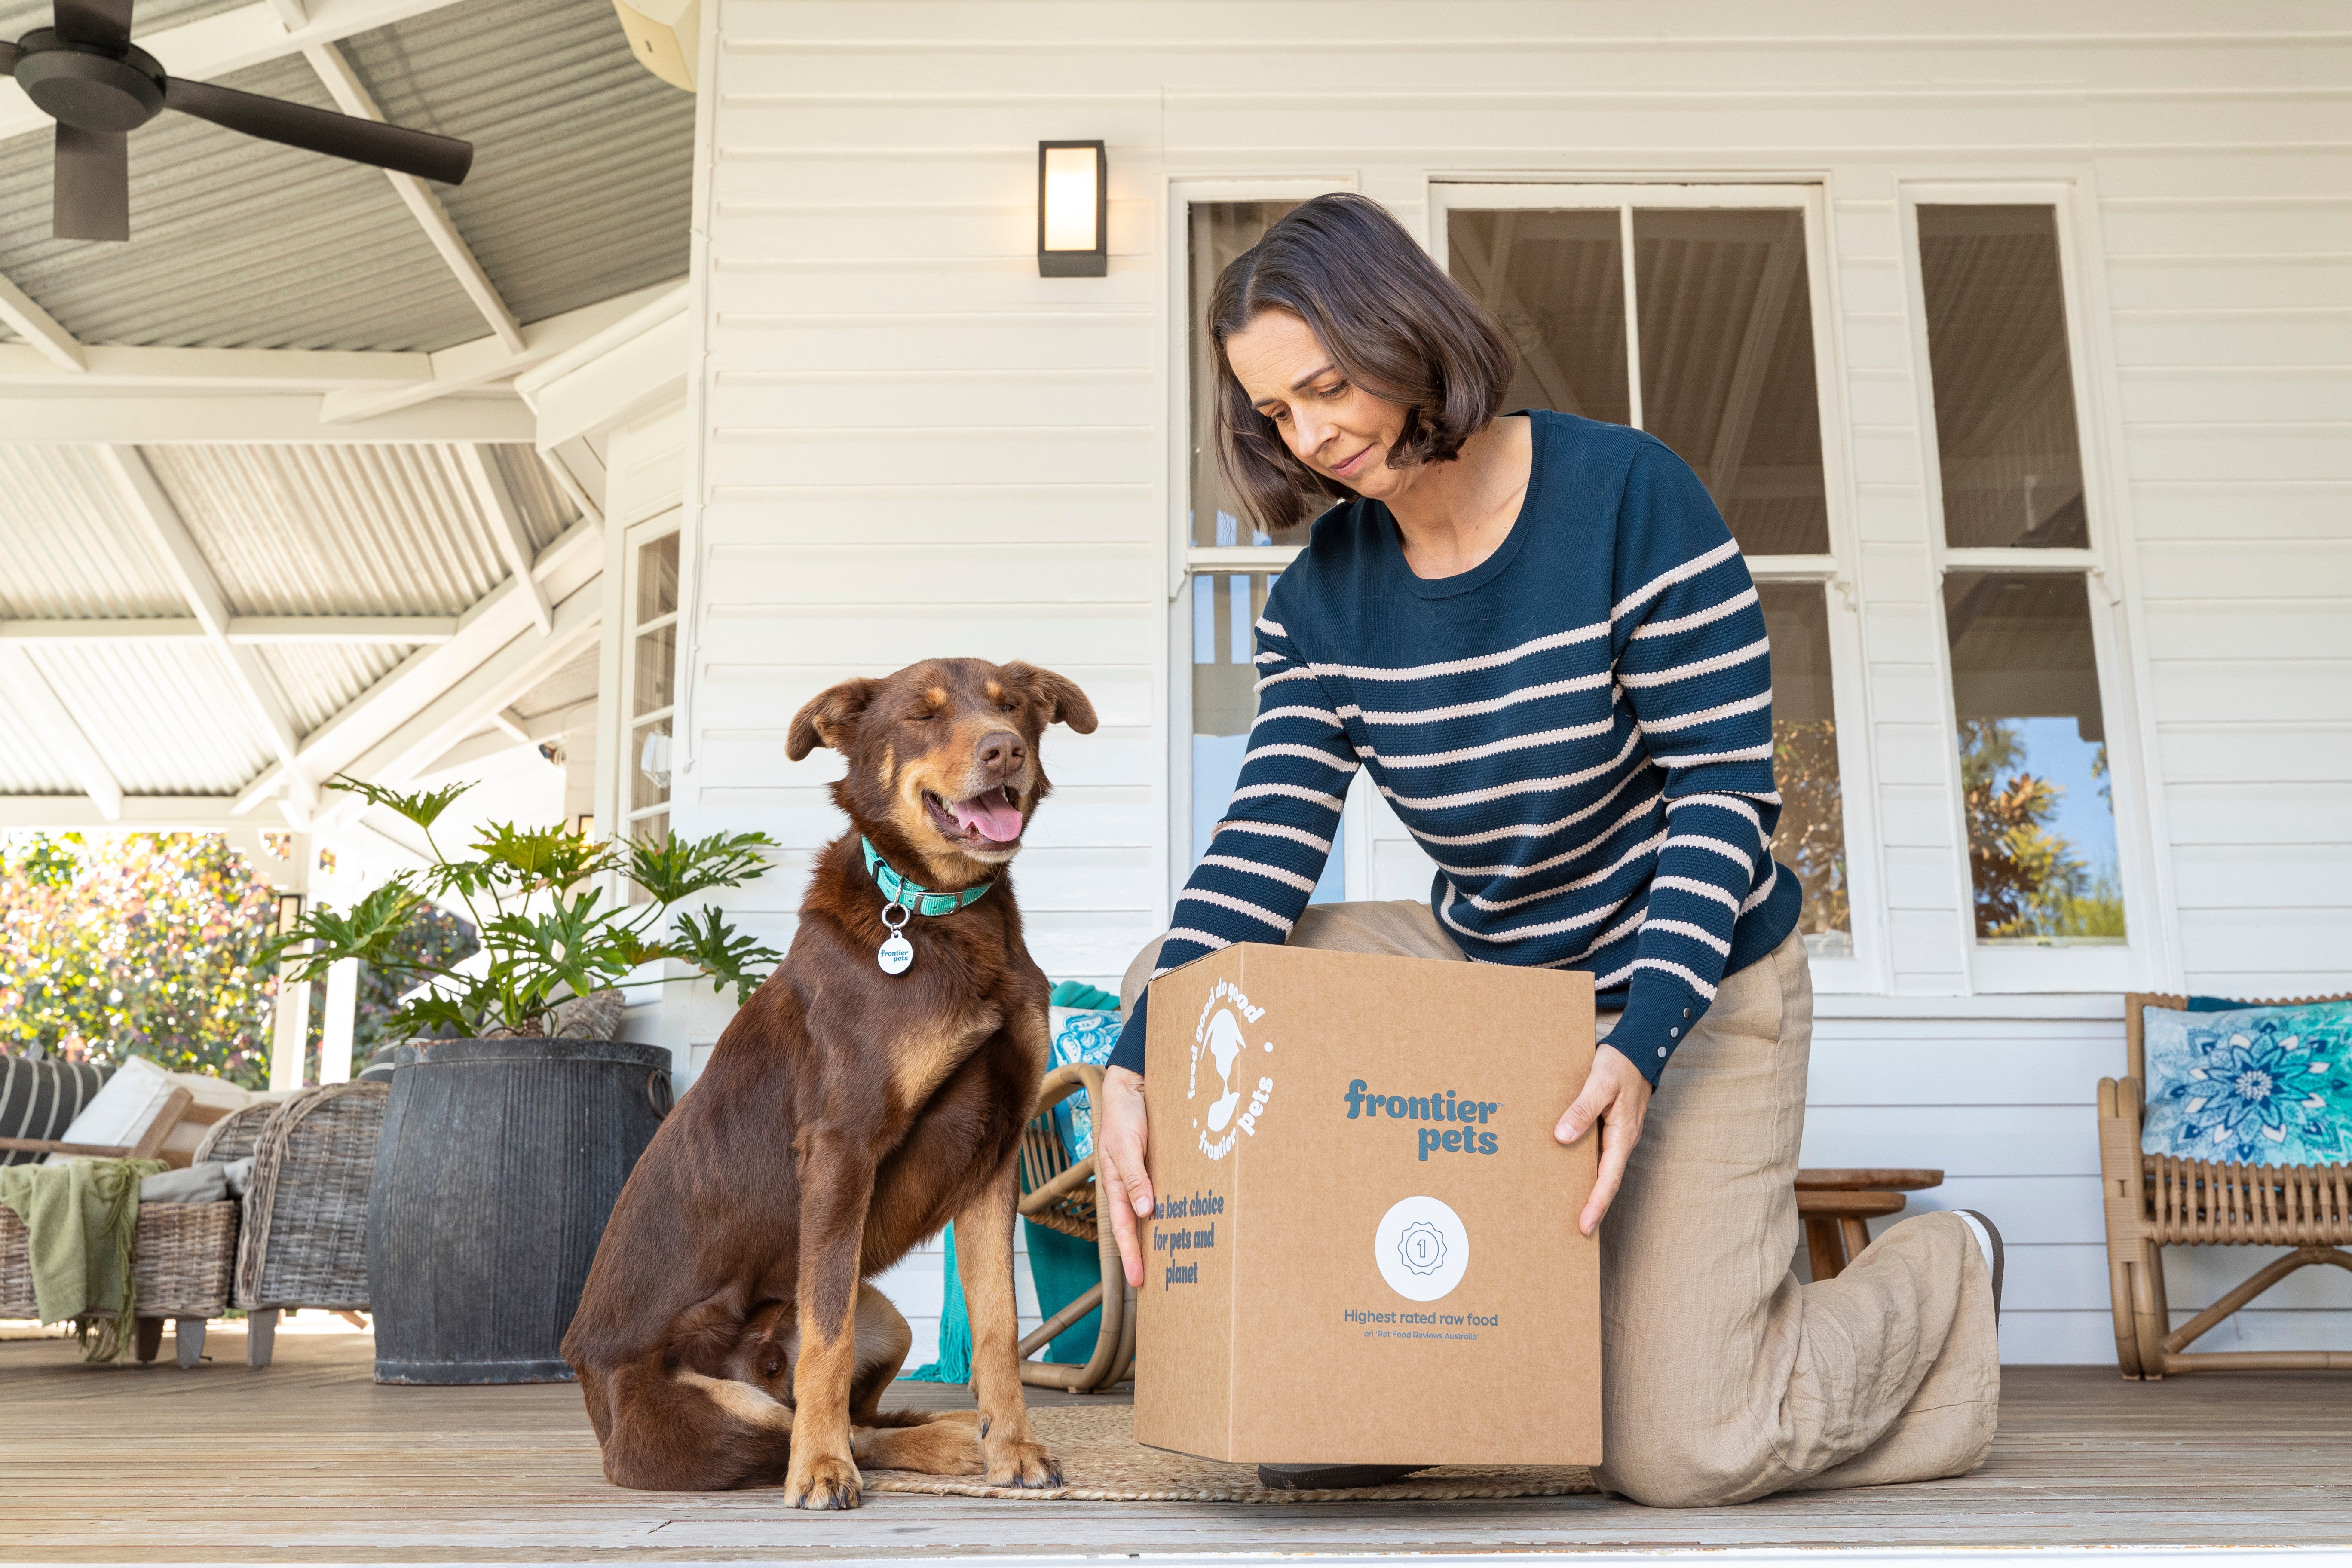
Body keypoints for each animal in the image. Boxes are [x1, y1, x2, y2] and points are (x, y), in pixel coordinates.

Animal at [564, 658, 1096, 1504]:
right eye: (922, 715)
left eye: (1013, 707)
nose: (1005, 751)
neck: (941, 912)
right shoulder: (844, 1145)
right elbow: (826, 1335)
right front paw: (819, 1471)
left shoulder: (995, 1155)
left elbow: (997, 1329)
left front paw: (1014, 1448)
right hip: (715, 1415)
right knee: (820, 1423)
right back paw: (902, 1446)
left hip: (890, 1315)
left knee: (866, 1416)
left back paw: (960, 1433)